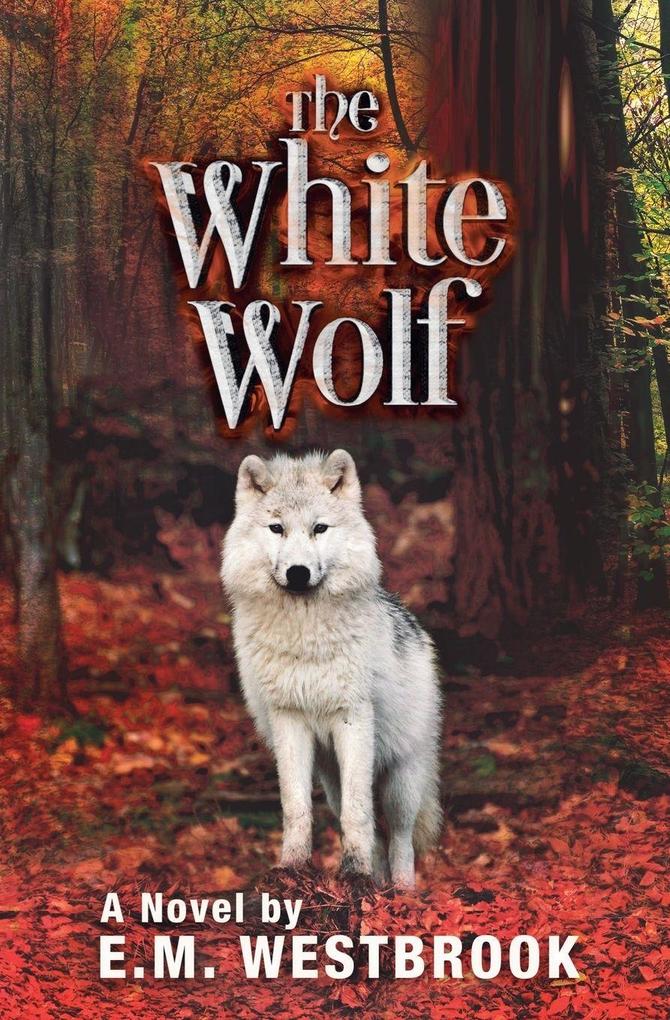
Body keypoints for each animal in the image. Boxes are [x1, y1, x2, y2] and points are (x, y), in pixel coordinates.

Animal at [221, 449, 442, 887]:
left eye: (319, 528)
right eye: (277, 528)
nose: (298, 573)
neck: (304, 638)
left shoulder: (352, 717)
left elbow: (359, 814)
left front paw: (354, 874)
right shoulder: (288, 718)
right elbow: (296, 807)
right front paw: (293, 869)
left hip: (401, 778)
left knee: (400, 836)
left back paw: (401, 890)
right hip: (330, 778)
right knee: (373, 832)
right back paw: (376, 882)